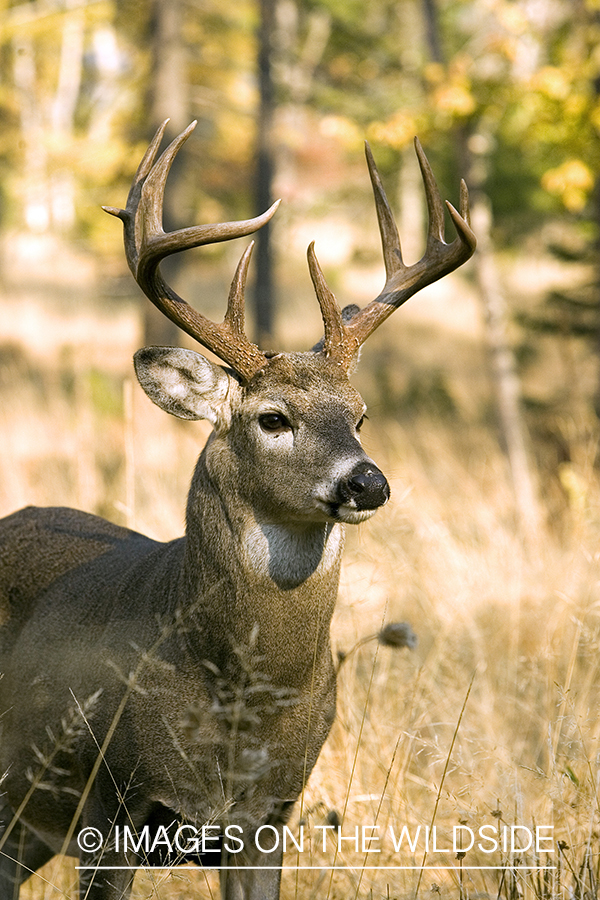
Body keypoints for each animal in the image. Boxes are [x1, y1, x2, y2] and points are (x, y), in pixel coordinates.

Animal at [0, 121, 474, 900]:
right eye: (273, 418)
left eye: (360, 416)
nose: (368, 482)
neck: (239, 702)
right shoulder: (114, 804)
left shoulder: (269, 816)